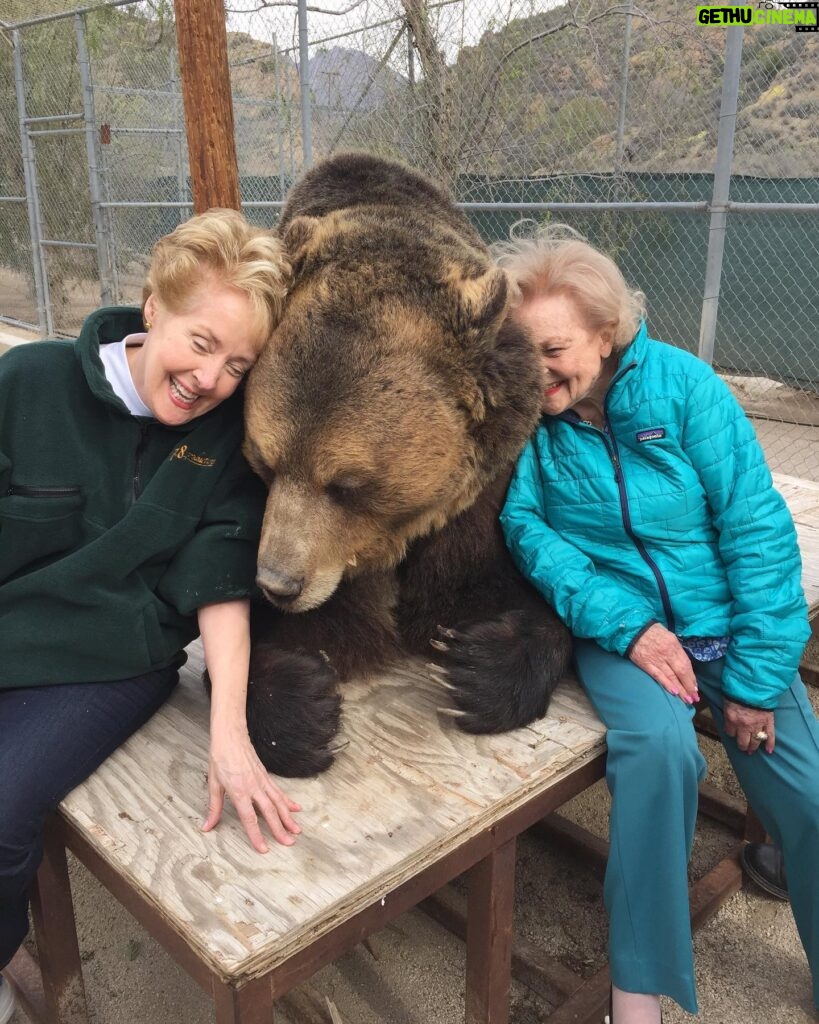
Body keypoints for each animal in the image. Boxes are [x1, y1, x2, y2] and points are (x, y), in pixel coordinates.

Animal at [239, 151, 565, 774]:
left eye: (347, 483)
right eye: (264, 464)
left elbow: (513, 587)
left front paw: (471, 667)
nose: (278, 583)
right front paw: (304, 706)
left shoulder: (487, 490)